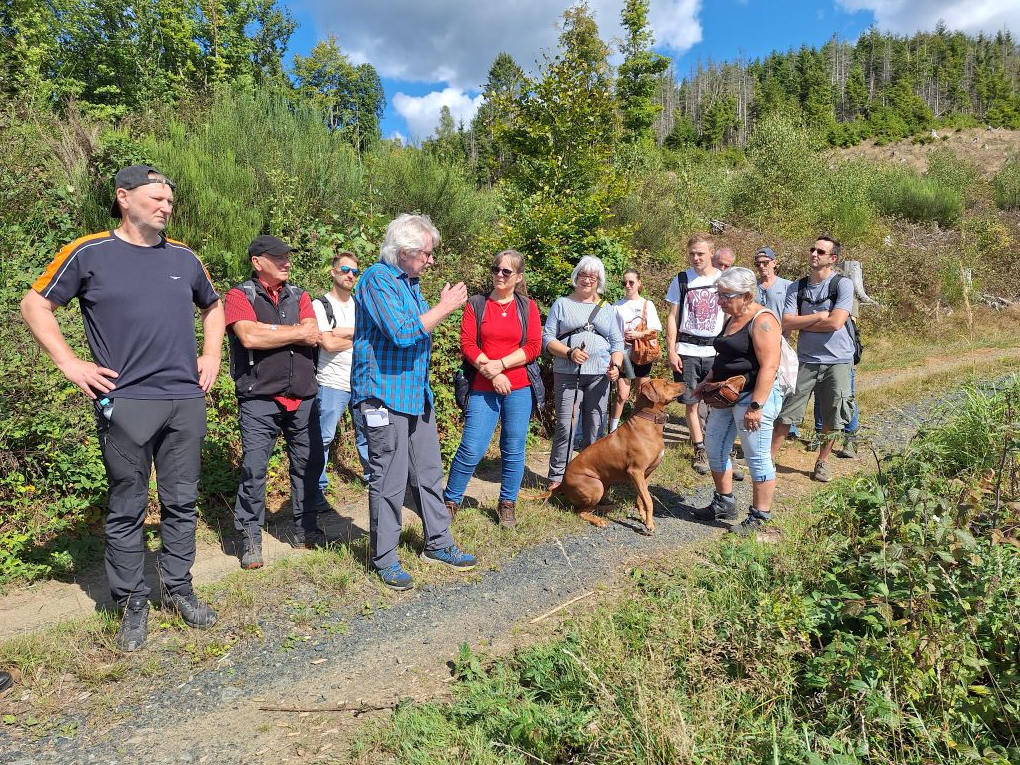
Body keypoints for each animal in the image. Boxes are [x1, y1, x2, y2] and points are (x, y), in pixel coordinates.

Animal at [526, 377, 684, 534]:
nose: (685, 383)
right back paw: (598, 520)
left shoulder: (646, 473)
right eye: (666, 383)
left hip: (605, 483)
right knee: (579, 511)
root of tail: (562, 484)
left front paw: (645, 518)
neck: (648, 422)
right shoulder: (635, 471)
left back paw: (609, 507)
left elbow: (642, 498)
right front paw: (649, 524)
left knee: (590, 507)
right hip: (596, 486)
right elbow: (649, 500)